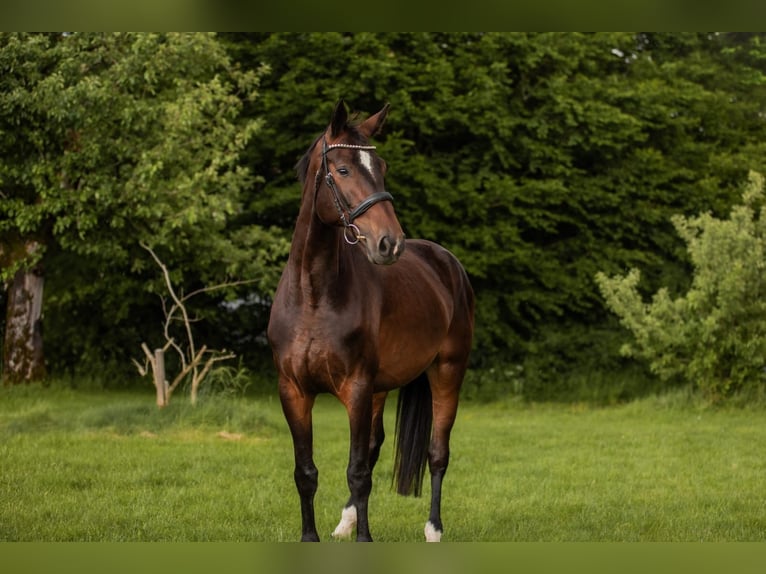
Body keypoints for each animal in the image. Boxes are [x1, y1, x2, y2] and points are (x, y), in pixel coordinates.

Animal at [268, 100, 474, 544]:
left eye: (381, 166)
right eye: (344, 169)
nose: (389, 243)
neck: (313, 296)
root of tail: (445, 261)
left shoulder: (357, 389)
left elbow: (358, 471)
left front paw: (366, 539)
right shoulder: (293, 391)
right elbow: (306, 472)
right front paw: (311, 537)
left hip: (447, 372)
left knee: (437, 453)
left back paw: (433, 530)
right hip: (380, 389)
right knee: (376, 445)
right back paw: (345, 522)